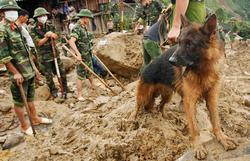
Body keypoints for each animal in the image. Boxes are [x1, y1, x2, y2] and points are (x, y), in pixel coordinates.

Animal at [132, 14, 237, 160]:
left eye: (190, 44)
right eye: (179, 42)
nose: (171, 61)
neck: (203, 71)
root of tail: (147, 66)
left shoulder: (212, 99)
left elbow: (216, 122)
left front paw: (223, 138)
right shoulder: (189, 101)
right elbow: (195, 127)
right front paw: (198, 147)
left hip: (168, 95)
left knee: (160, 106)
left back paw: (165, 117)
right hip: (144, 95)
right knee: (137, 107)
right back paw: (133, 120)